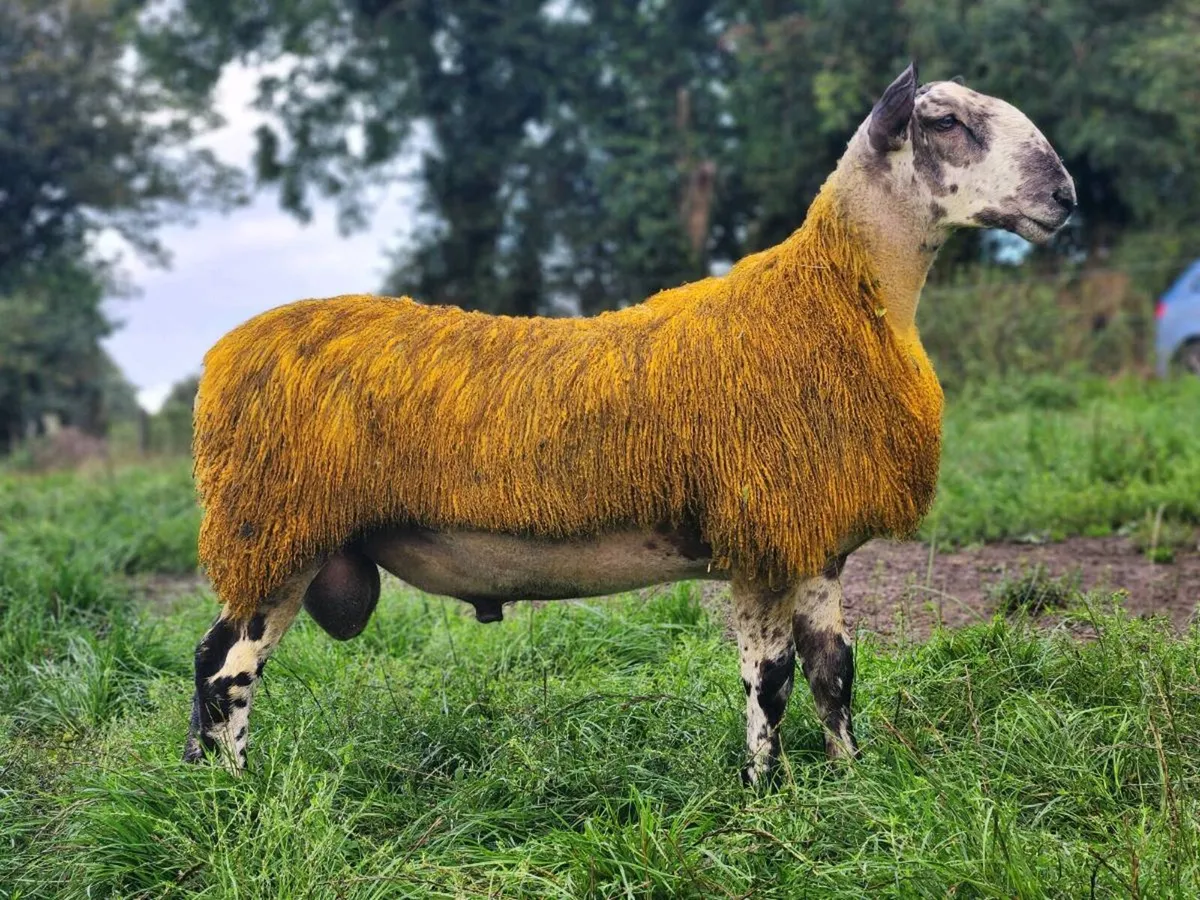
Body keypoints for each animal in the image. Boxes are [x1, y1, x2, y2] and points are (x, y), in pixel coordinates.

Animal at [184, 63, 1075, 784]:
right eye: (946, 121)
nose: (1065, 198)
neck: (840, 295)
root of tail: (225, 354)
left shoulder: (816, 541)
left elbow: (834, 673)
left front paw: (851, 780)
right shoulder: (761, 540)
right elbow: (770, 682)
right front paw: (766, 798)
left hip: (283, 536)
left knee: (203, 661)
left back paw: (196, 783)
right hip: (280, 531)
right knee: (228, 672)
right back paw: (239, 800)